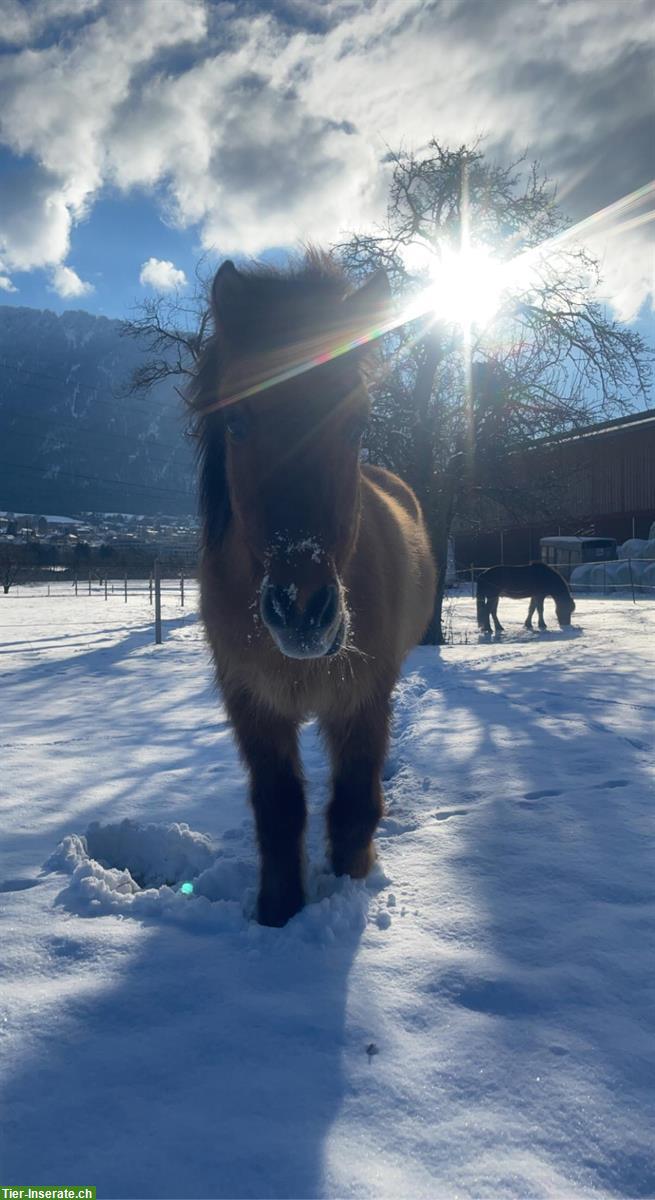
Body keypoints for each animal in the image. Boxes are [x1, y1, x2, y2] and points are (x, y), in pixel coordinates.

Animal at [187, 255, 434, 926]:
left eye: (358, 422)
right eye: (237, 421)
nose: (301, 611)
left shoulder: (363, 698)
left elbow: (352, 806)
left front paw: (349, 886)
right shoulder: (253, 703)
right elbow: (279, 810)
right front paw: (278, 913)